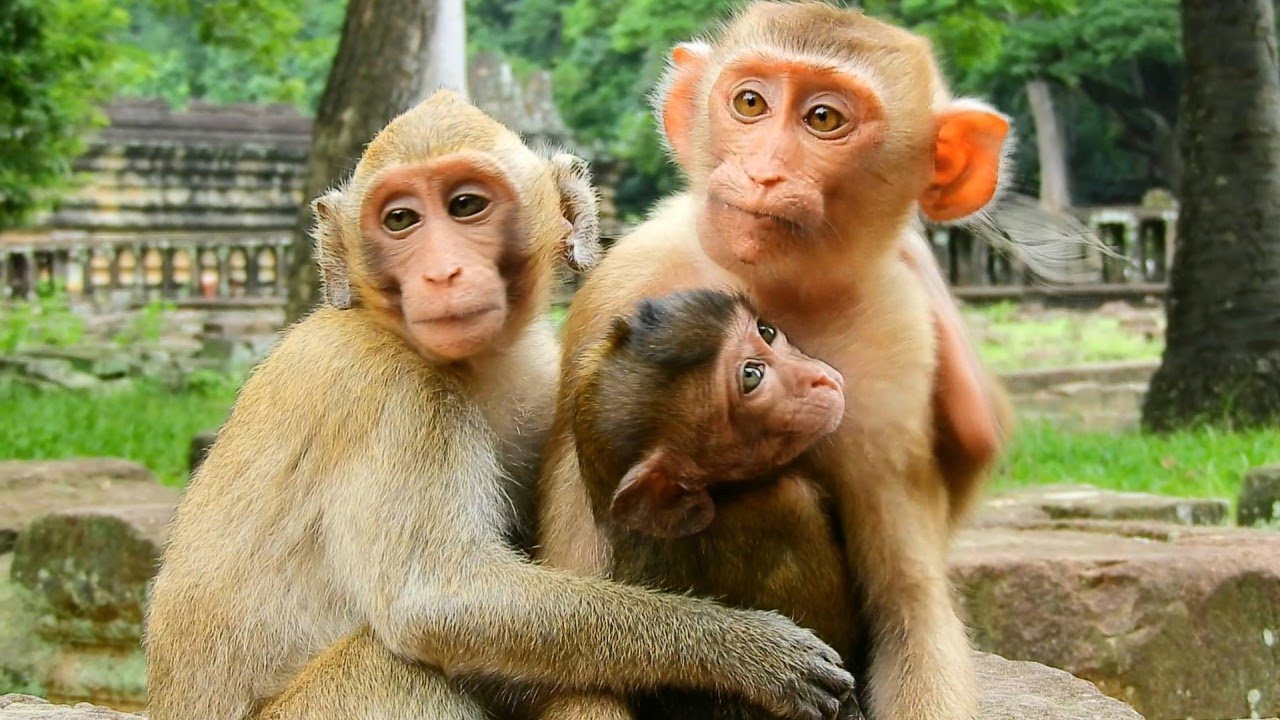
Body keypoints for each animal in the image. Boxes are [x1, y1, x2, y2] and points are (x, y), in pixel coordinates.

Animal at [142, 90, 857, 720]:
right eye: (400, 220)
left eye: (465, 205)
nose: (441, 273)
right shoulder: (391, 392)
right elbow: (435, 600)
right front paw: (748, 650)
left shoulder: (543, 375)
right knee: (395, 669)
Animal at [535, 4, 1016, 720]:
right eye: (750, 103)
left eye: (823, 118)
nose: (763, 172)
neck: (785, 290)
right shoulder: (624, 284)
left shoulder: (897, 348)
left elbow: (907, 607)